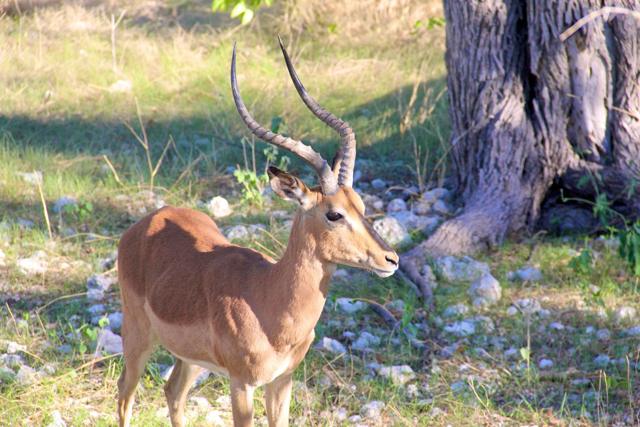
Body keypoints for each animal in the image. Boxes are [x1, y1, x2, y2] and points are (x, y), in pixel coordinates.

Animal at [116, 38, 399, 427]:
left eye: (361, 204)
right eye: (334, 214)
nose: (391, 259)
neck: (269, 302)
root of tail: (149, 221)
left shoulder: (282, 380)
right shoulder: (241, 383)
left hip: (191, 358)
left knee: (173, 391)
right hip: (138, 337)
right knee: (124, 394)